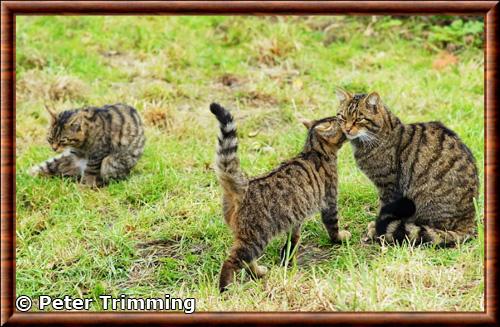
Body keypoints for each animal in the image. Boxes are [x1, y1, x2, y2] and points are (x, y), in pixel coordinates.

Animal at [209, 104, 350, 294]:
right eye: (341, 120)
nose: (348, 123)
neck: (314, 150)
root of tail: (244, 184)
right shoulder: (330, 200)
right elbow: (333, 226)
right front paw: (340, 238)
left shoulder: (295, 213)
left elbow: (294, 237)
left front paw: (288, 255)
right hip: (256, 237)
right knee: (232, 261)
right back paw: (226, 288)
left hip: (245, 235)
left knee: (247, 261)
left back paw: (259, 272)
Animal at [334, 88, 478, 247]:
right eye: (342, 117)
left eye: (359, 119)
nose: (347, 129)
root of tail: (469, 223)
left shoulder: (388, 185)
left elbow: (382, 208)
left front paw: (376, 230)